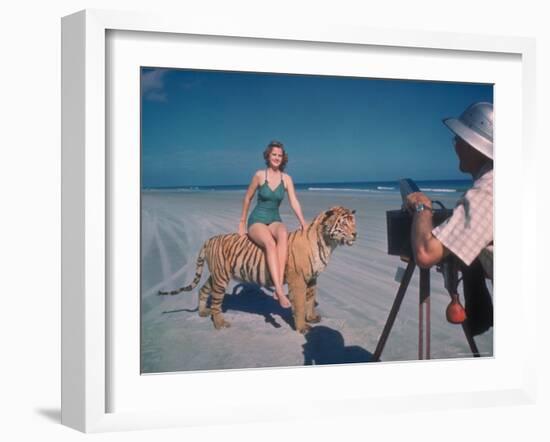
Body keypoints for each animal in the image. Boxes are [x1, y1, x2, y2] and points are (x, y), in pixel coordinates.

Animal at [160, 205, 358, 334]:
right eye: (343, 223)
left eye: (354, 222)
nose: (356, 234)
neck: (328, 243)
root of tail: (210, 239)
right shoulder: (298, 280)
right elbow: (301, 304)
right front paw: (302, 327)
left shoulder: (312, 279)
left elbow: (309, 300)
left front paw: (312, 318)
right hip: (221, 277)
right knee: (216, 302)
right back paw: (220, 323)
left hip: (215, 275)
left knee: (203, 289)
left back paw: (202, 312)